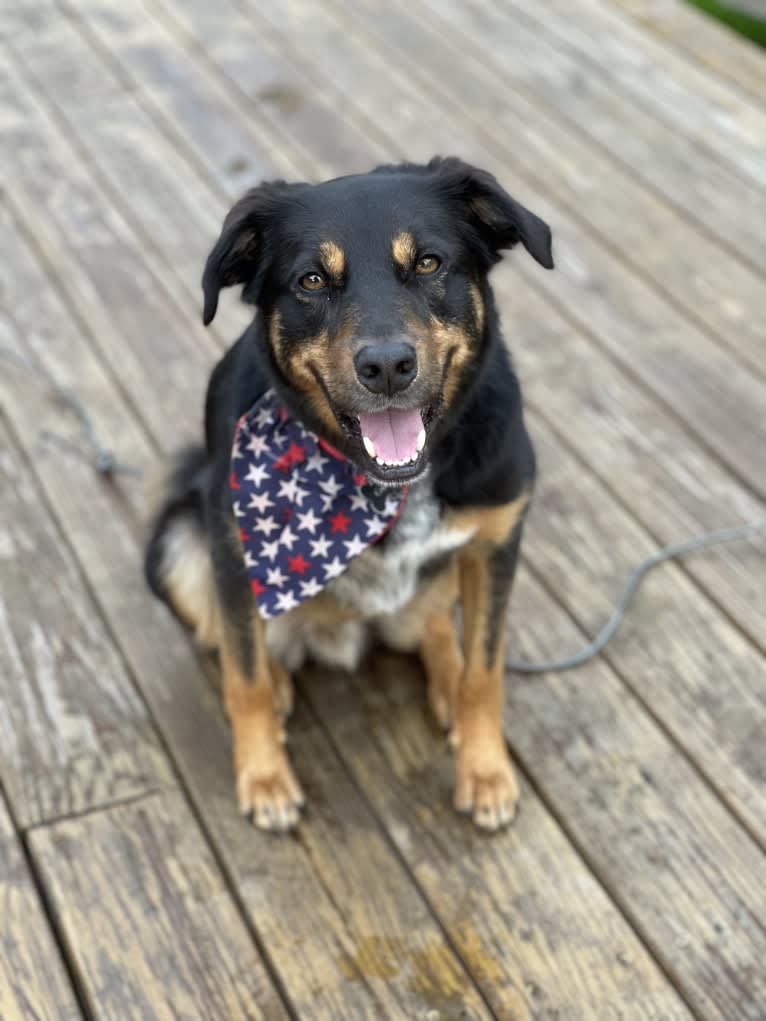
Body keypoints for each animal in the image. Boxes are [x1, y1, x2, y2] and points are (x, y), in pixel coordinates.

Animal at [145, 157, 551, 829]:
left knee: (435, 625)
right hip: (177, 542)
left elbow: (485, 673)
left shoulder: (497, 541)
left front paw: (486, 771)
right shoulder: (232, 549)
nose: (387, 367)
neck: (381, 486)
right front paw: (264, 778)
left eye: (429, 263)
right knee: (230, 637)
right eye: (312, 280)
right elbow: (244, 675)